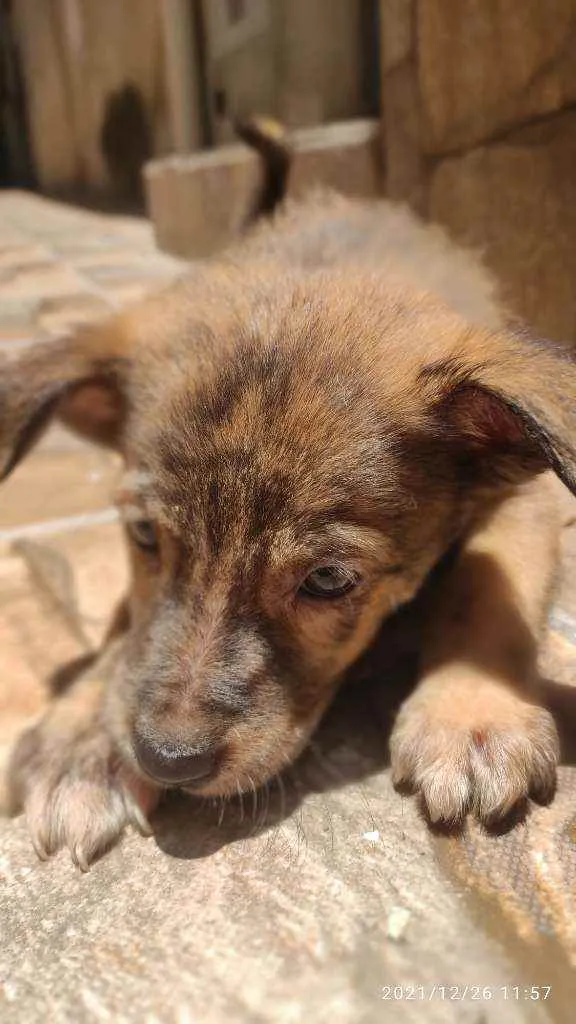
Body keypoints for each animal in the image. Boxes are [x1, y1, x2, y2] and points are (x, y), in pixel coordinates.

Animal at [1, 146, 573, 864]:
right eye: (145, 537)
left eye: (328, 580)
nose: (167, 760)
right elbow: (129, 627)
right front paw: (81, 742)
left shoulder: (528, 491)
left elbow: (489, 584)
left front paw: (473, 714)